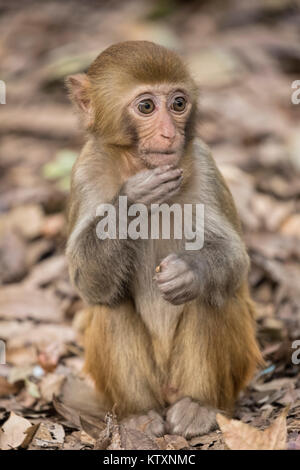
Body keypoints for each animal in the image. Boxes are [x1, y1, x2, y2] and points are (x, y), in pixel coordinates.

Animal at [65, 40, 260, 436]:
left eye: (178, 103)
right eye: (146, 107)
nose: (170, 135)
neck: (136, 163)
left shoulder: (204, 163)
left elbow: (235, 261)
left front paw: (189, 272)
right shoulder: (85, 173)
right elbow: (88, 284)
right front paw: (131, 202)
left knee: (209, 296)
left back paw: (198, 405)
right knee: (111, 306)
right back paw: (140, 415)